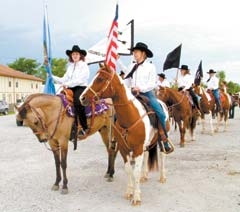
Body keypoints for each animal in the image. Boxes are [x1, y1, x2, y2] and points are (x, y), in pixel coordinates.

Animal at [79, 64, 172, 205]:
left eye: (100, 78)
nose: (82, 98)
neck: (130, 117)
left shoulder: (137, 148)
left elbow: (136, 171)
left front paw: (136, 197)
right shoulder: (124, 148)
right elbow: (129, 170)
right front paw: (129, 192)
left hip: (162, 139)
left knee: (162, 155)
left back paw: (162, 177)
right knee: (147, 156)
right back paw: (145, 176)